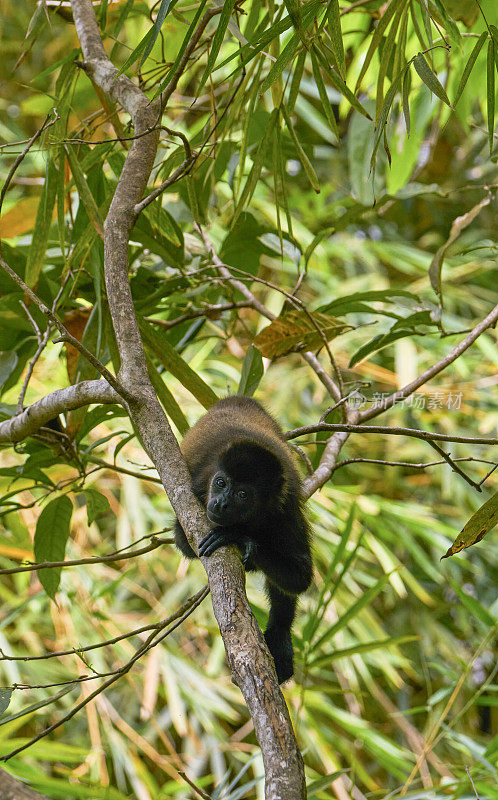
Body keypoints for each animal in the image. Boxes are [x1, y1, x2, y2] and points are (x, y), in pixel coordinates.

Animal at [175, 396, 312, 684]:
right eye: (221, 483)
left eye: (242, 494)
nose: (221, 504)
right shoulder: (199, 487)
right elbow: (184, 539)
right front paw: (235, 535)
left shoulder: (286, 508)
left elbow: (299, 576)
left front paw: (235, 536)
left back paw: (279, 640)